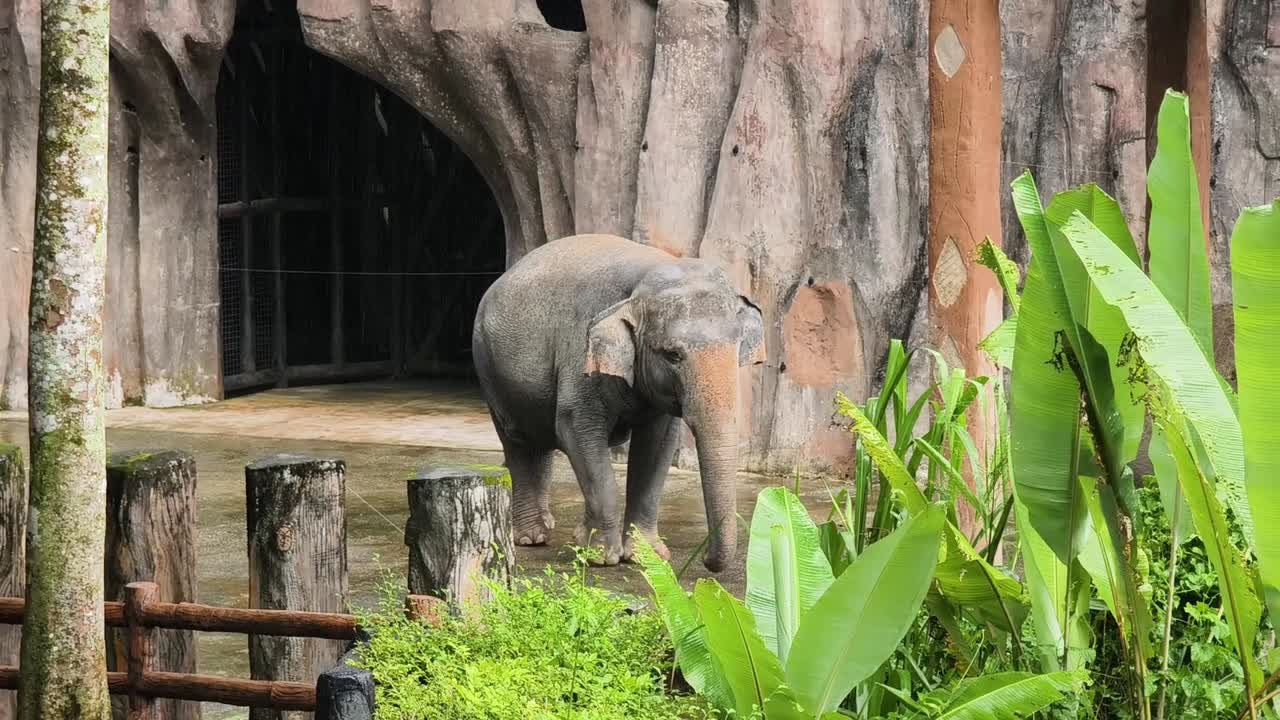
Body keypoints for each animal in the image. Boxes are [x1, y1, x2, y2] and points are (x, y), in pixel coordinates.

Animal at [471, 233, 765, 571]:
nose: (704, 560)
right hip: (490, 369)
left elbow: (658, 445)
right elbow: (578, 431)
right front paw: (600, 557)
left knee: (539, 443)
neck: (646, 275)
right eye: (673, 355)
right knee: (518, 440)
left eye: (737, 348)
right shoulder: (581, 348)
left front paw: (647, 556)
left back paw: (549, 526)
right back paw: (532, 537)